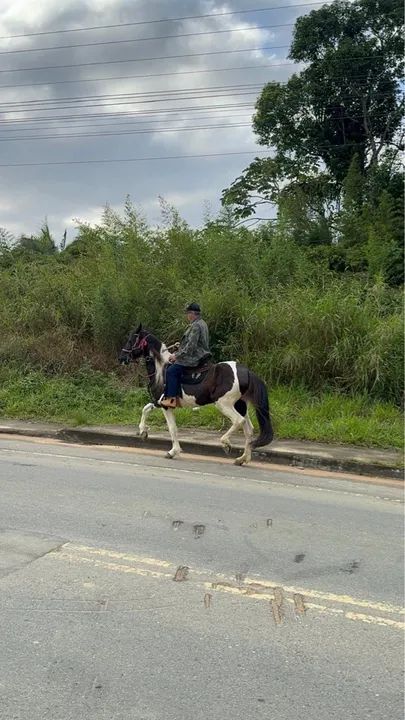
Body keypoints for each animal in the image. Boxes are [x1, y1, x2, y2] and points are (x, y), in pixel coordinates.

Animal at [119, 324, 273, 465]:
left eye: (131, 339)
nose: (121, 358)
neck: (161, 370)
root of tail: (246, 371)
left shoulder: (166, 405)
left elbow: (172, 429)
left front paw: (173, 451)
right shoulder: (159, 401)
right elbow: (145, 409)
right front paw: (143, 432)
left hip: (224, 404)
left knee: (238, 421)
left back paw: (226, 444)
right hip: (240, 405)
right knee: (249, 429)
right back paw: (242, 459)